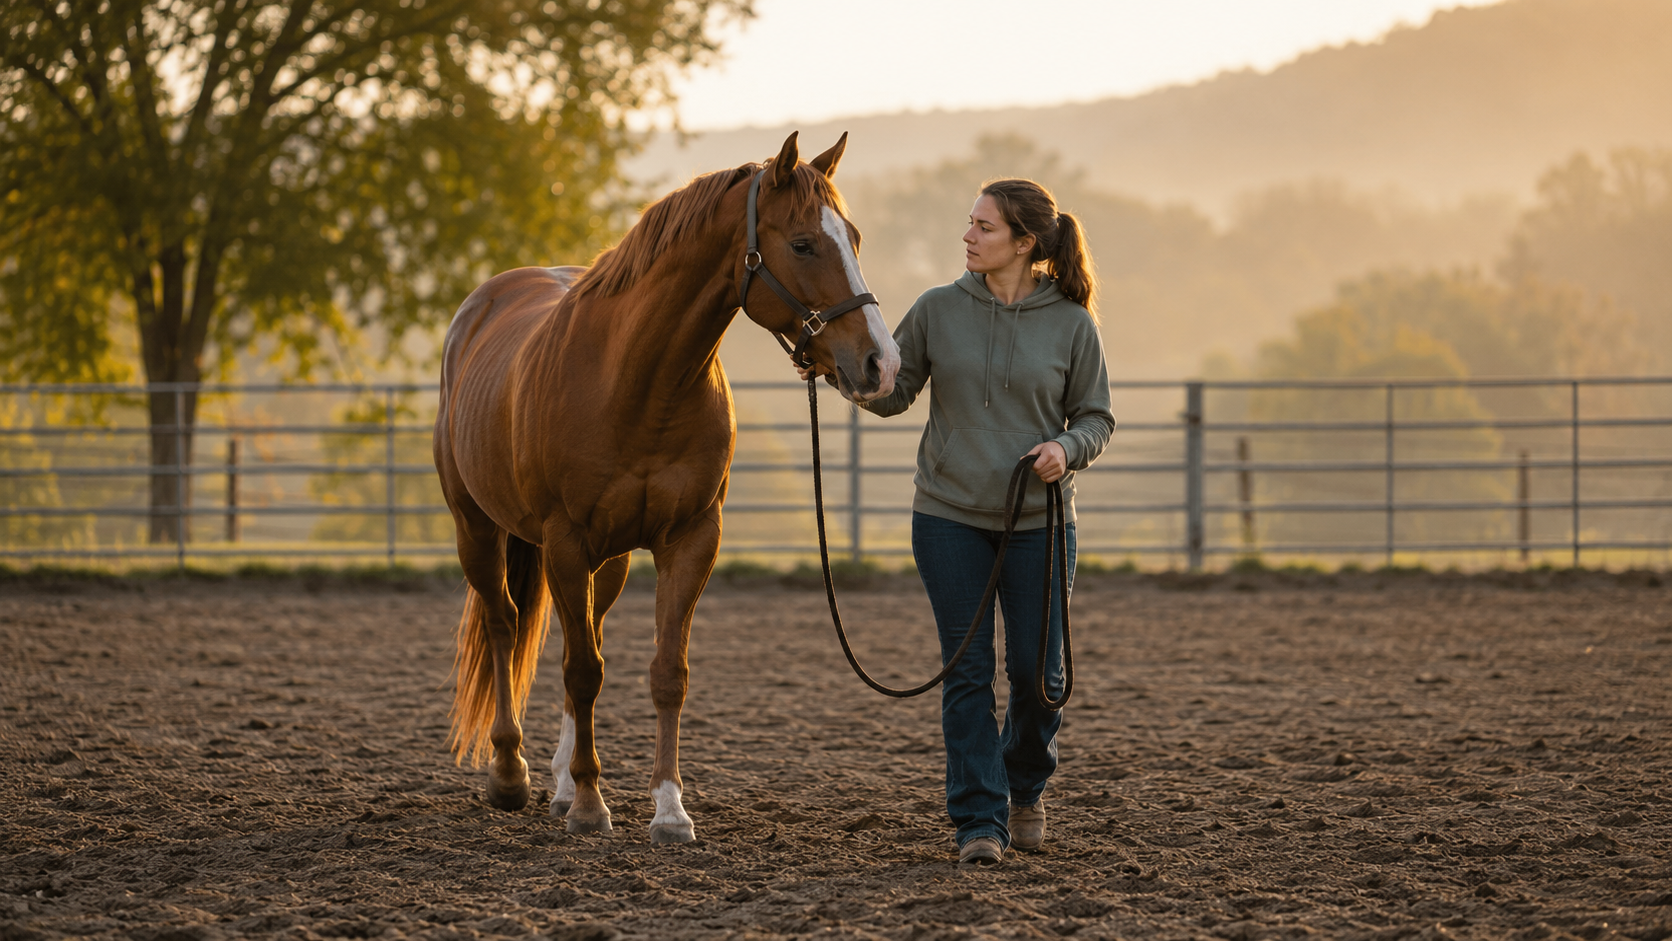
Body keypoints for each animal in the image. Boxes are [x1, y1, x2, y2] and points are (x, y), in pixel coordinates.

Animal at [432, 132, 900, 842]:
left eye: (853, 236)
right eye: (802, 244)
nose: (881, 363)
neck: (638, 381)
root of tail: (479, 306)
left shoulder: (690, 539)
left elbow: (663, 672)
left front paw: (668, 808)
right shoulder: (564, 541)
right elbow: (582, 669)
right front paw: (593, 807)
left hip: (609, 560)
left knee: (578, 635)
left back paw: (561, 784)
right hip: (478, 529)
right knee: (505, 626)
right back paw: (511, 774)